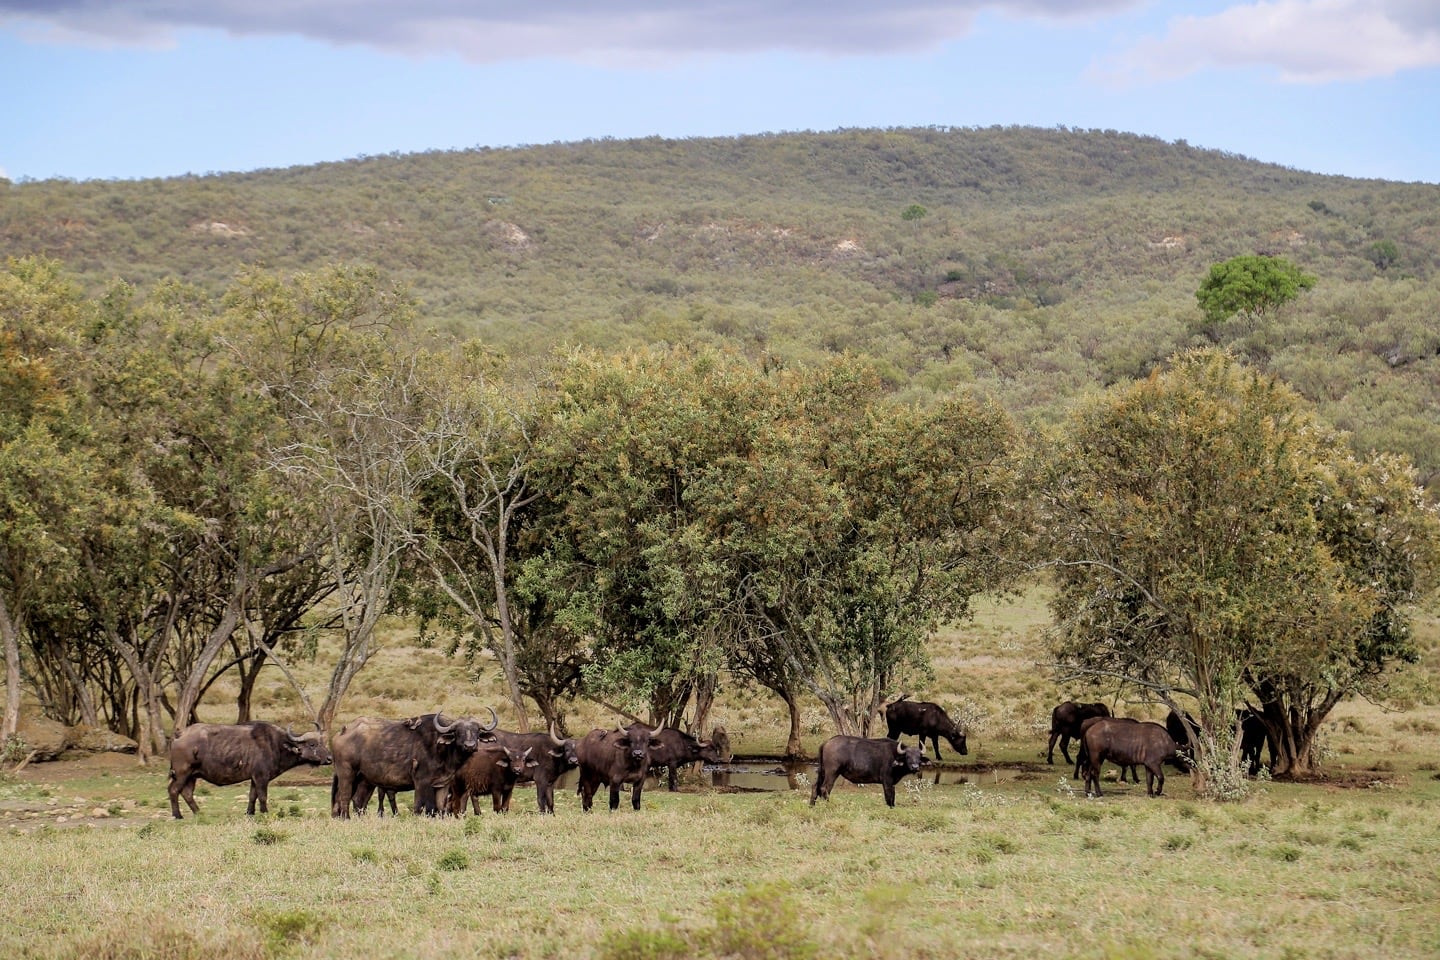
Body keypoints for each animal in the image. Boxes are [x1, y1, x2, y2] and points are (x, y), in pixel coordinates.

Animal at [167, 719, 329, 817]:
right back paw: (178, 815)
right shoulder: (261, 777)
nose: (329, 759)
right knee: (174, 790)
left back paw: (199, 813)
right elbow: (262, 796)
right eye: (312, 744)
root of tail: (179, 736)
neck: (276, 745)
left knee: (187, 793)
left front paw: (250, 812)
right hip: (183, 773)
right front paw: (265, 812)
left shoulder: (254, 778)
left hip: (192, 775)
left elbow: (252, 796)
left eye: (322, 742)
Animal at [329, 705, 498, 817]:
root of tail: (342, 732)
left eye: (477, 731)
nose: (470, 746)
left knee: (357, 800)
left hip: (364, 779)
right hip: (346, 774)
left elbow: (440, 807)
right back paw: (346, 818)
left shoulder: (443, 784)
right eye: (458, 732)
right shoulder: (422, 782)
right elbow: (423, 807)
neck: (441, 748)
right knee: (344, 796)